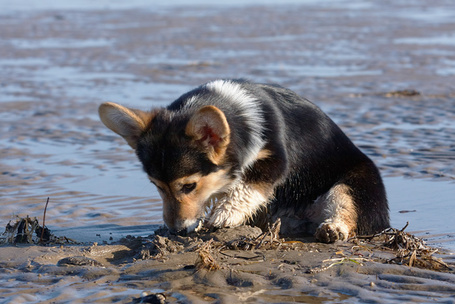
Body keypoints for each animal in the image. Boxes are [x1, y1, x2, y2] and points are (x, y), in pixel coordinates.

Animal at [100, 79, 392, 243]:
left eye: (189, 186)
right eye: (157, 187)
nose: (177, 231)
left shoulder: (274, 158)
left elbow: (248, 186)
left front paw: (224, 214)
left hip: (353, 183)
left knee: (346, 207)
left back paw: (333, 229)